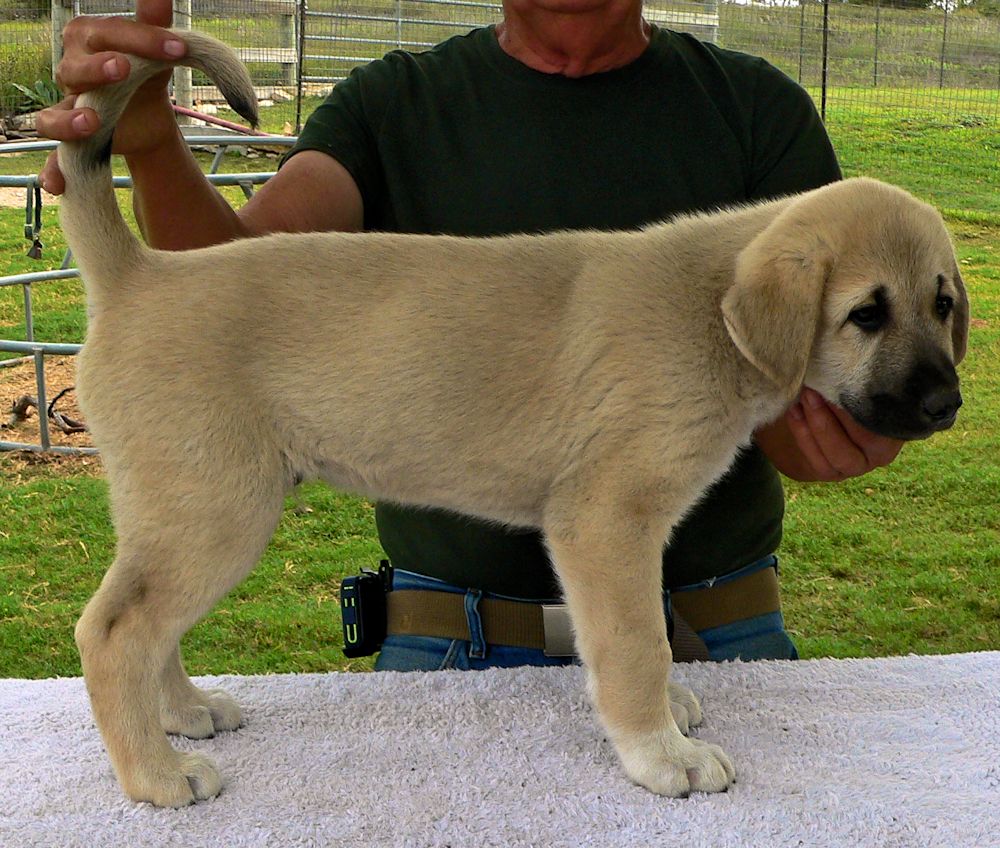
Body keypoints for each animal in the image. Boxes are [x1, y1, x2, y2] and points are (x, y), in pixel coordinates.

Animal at [60, 29, 968, 804]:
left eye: (942, 303)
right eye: (866, 314)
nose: (946, 404)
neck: (709, 311)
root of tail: (140, 274)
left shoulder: (621, 532)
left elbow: (636, 631)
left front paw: (666, 712)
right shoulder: (606, 518)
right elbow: (636, 640)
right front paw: (660, 756)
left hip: (180, 513)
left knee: (144, 624)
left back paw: (182, 715)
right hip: (215, 510)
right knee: (114, 630)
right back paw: (157, 774)